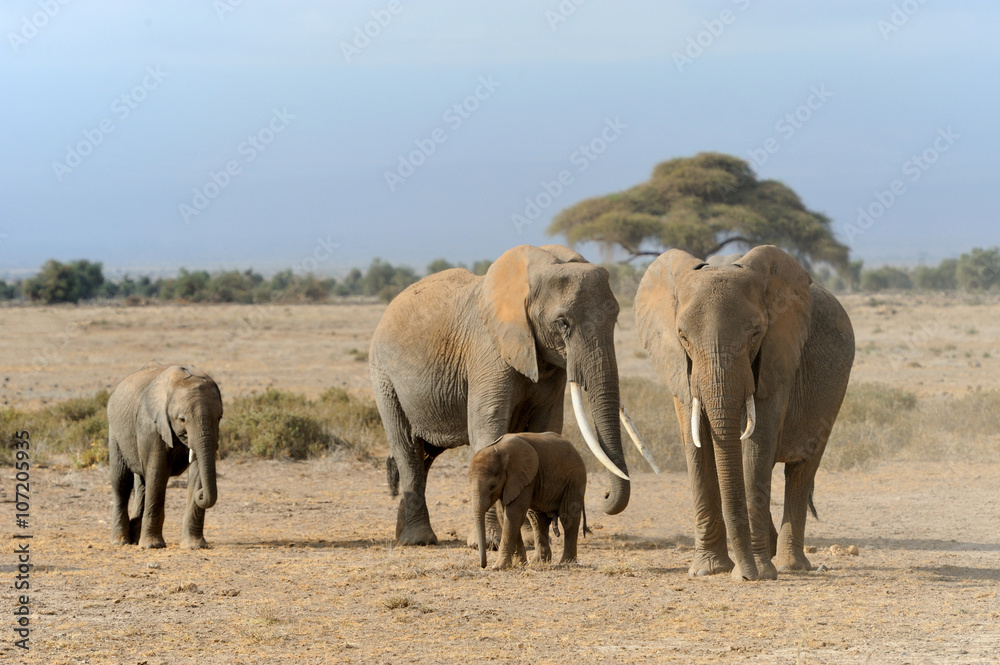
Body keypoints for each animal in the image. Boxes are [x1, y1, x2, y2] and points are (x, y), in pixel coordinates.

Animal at [107, 363, 223, 550]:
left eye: (220, 417)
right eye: (182, 419)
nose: (201, 495)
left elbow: (197, 471)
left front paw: (195, 546)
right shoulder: (151, 426)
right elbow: (157, 473)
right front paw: (152, 546)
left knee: (142, 485)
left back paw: (135, 537)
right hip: (115, 433)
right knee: (121, 483)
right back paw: (120, 541)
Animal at [370, 244, 655, 546]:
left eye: (615, 318)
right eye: (562, 323)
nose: (604, 495)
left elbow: (543, 430)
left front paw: (527, 537)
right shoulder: (487, 350)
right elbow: (488, 429)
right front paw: (490, 543)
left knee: (425, 456)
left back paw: (404, 535)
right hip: (384, 377)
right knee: (407, 450)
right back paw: (419, 540)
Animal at [469, 432, 587, 569]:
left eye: (492, 486)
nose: (483, 565)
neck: (498, 449)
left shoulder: (524, 478)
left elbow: (513, 515)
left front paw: (498, 567)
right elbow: (505, 515)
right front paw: (520, 563)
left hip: (575, 478)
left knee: (568, 516)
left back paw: (566, 562)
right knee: (537, 519)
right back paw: (538, 562)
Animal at [634, 245, 854, 581]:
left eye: (755, 333)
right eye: (683, 336)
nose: (747, 576)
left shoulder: (777, 356)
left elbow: (756, 447)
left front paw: (760, 571)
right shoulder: (679, 367)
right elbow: (695, 447)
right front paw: (707, 571)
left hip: (834, 393)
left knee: (801, 470)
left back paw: (790, 565)